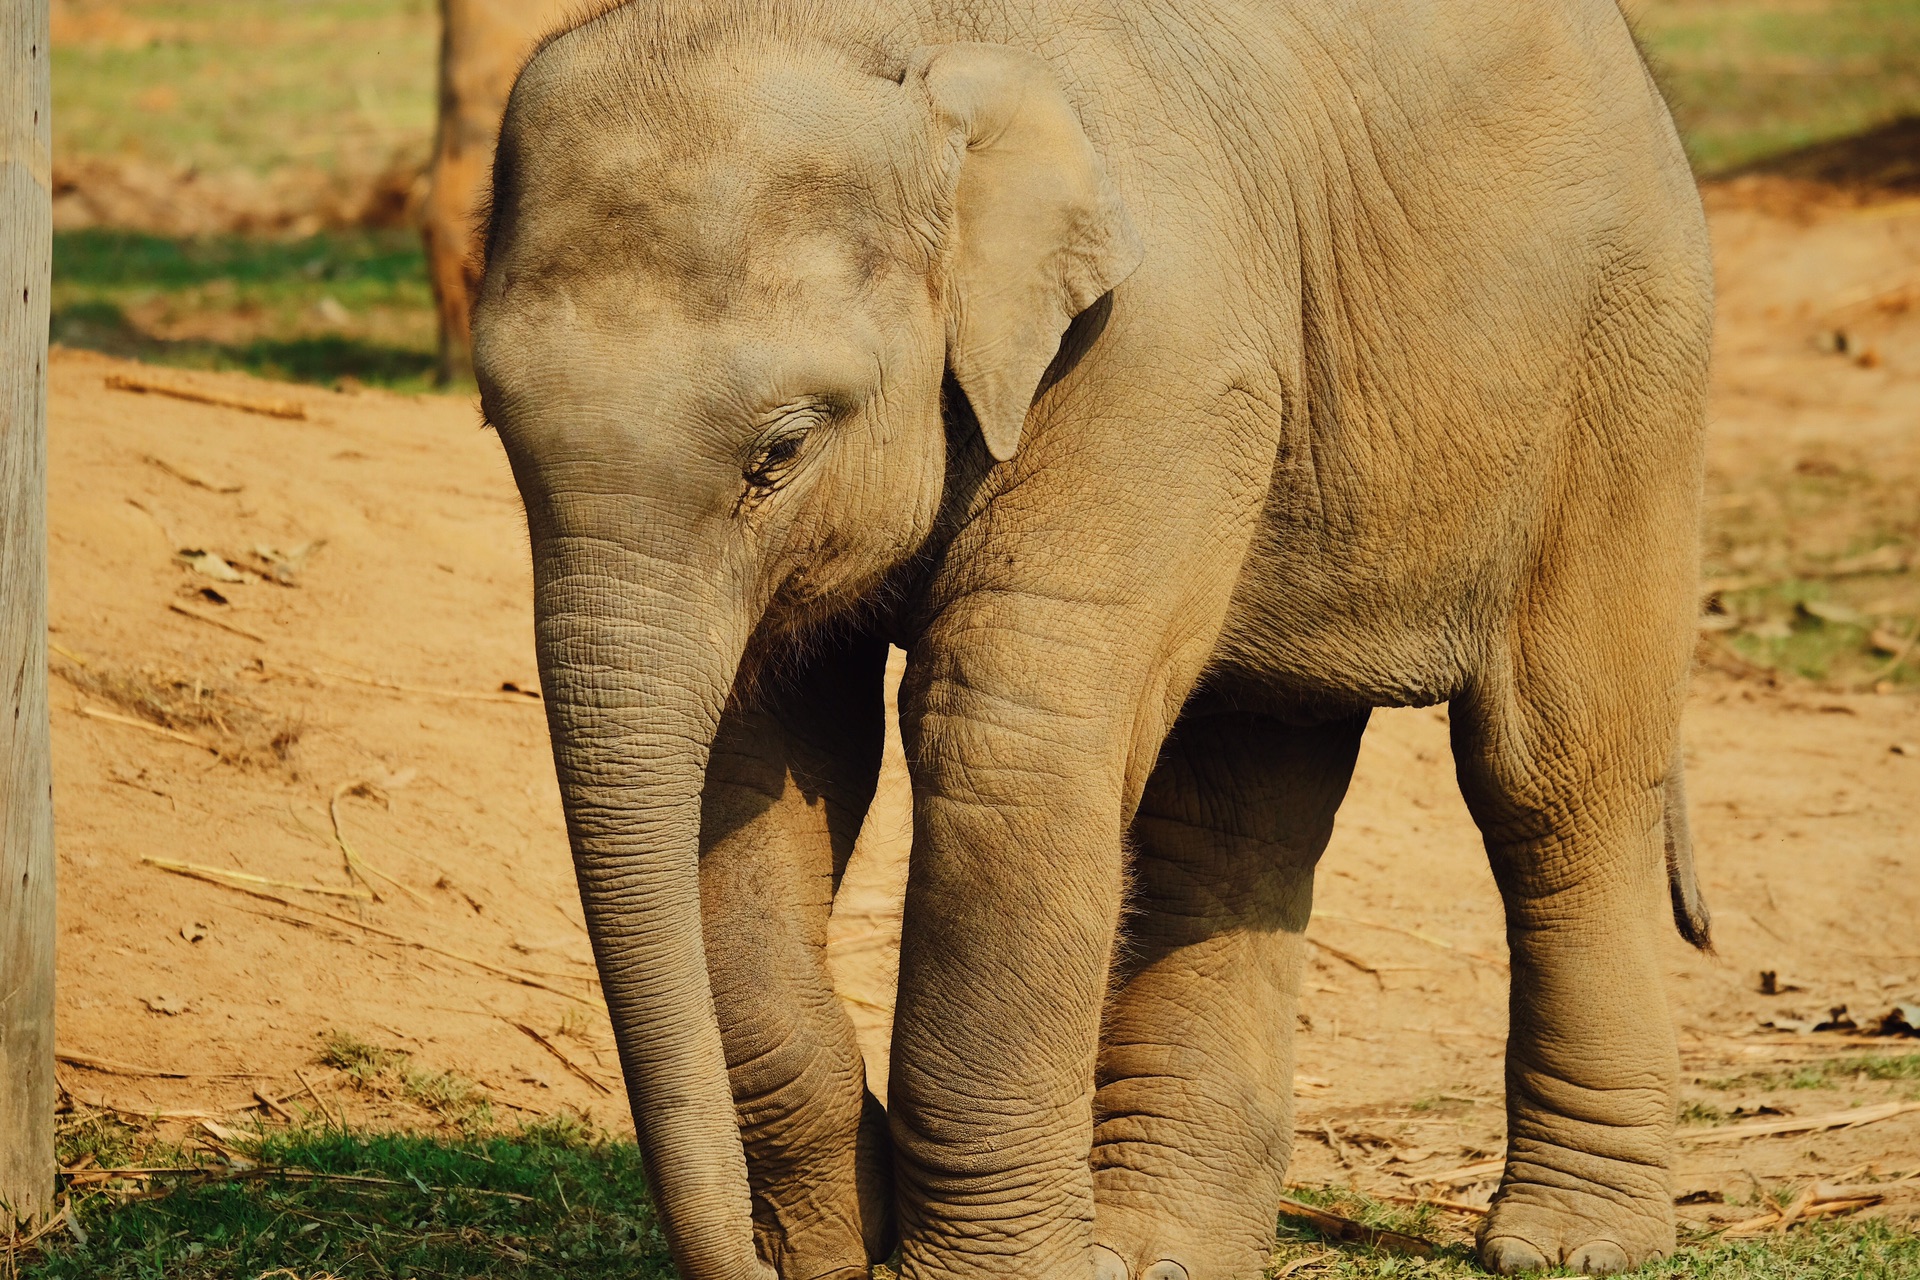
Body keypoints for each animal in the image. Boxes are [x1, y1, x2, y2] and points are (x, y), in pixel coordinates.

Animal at [472, 0, 1720, 1274]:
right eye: (491, 420)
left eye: (782, 447)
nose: (757, 1256)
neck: (896, 46)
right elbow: (756, 759)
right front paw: (841, 1230)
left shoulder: (1157, 354)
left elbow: (1006, 738)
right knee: (1236, 803)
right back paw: (1169, 1247)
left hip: (1623, 374)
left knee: (1551, 775)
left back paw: (1571, 1241)